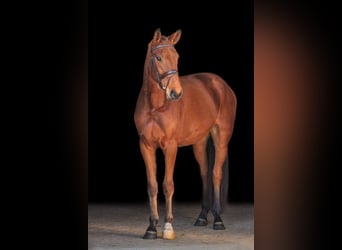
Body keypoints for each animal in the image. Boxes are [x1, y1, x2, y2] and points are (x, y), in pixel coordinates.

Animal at [133, 28, 235, 239]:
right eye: (158, 57)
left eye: (177, 57)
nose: (176, 93)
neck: (155, 107)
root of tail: (220, 84)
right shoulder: (146, 146)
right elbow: (152, 186)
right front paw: (151, 228)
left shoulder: (170, 146)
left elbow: (167, 184)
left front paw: (167, 227)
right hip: (200, 142)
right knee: (205, 173)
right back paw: (202, 217)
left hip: (221, 138)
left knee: (216, 174)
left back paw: (218, 220)